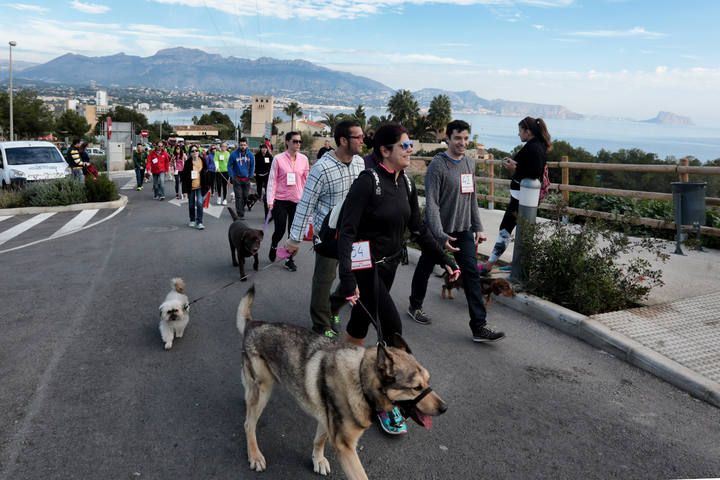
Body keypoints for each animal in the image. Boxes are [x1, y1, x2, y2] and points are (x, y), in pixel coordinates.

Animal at [239, 286, 448, 478]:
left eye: (428, 381)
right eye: (416, 388)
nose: (445, 408)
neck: (361, 382)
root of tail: (253, 324)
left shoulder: (327, 421)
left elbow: (319, 441)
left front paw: (318, 460)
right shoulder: (346, 446)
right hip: (263, 389)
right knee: (248, 424)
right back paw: (255, 455)